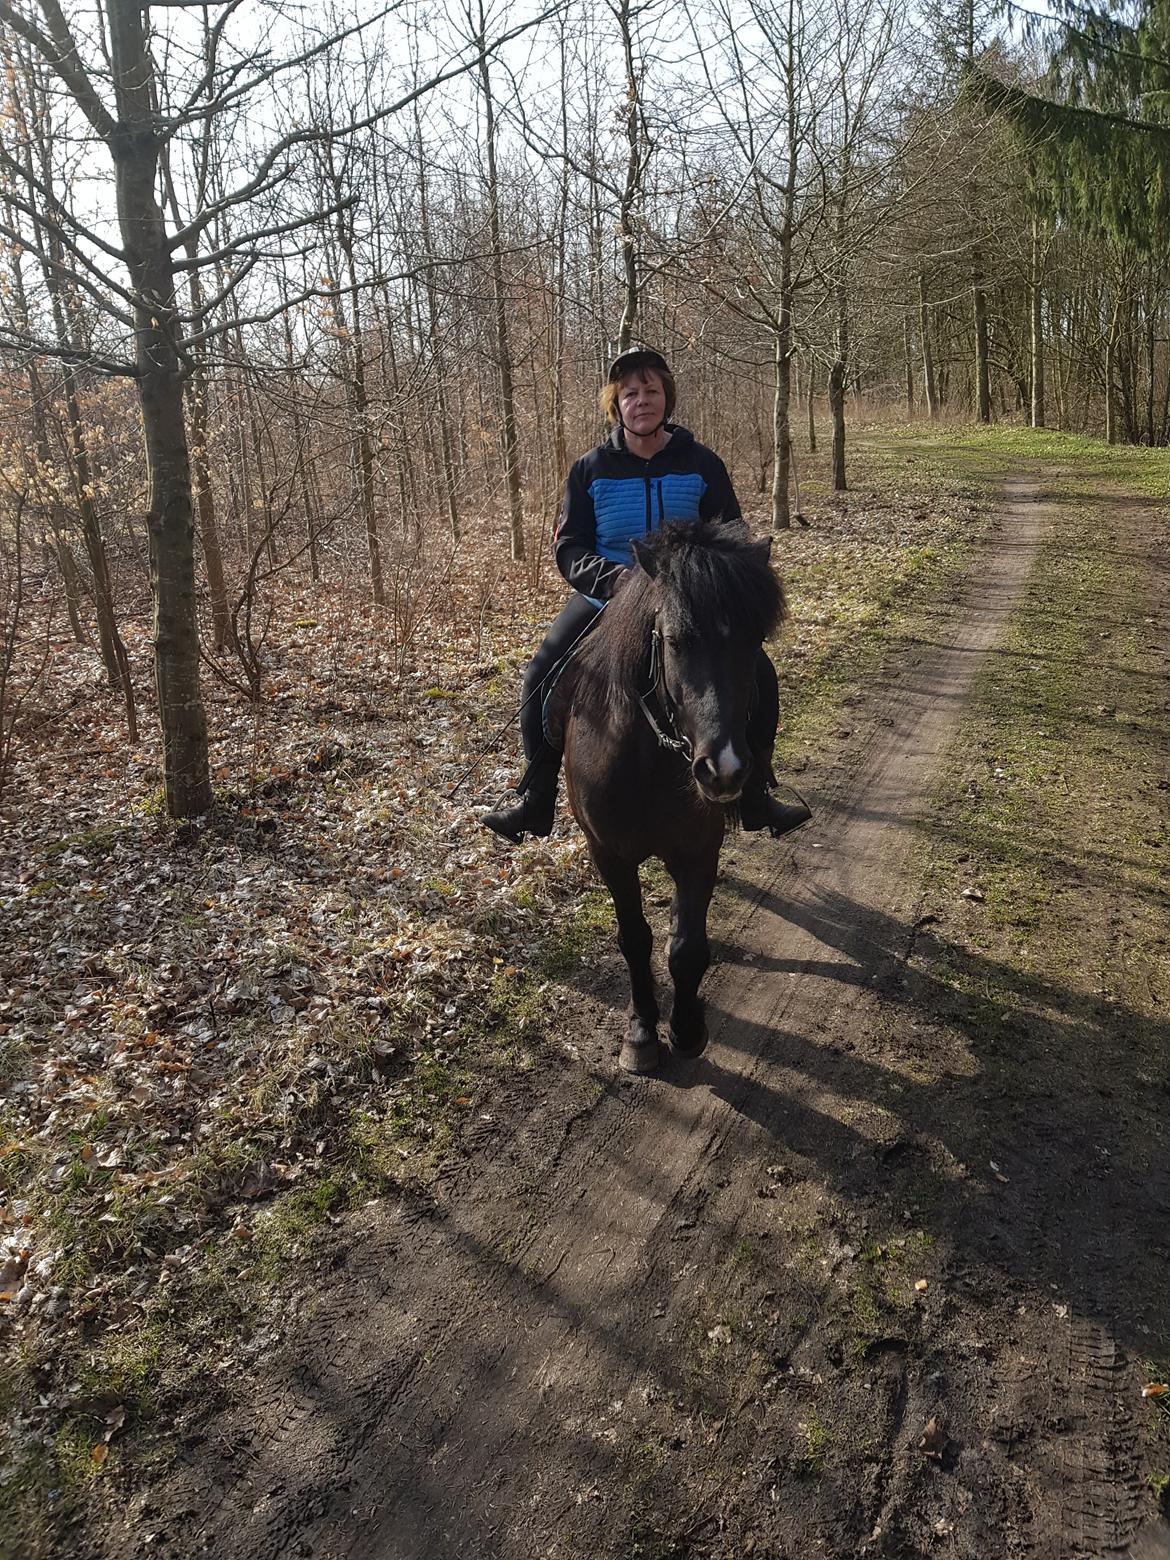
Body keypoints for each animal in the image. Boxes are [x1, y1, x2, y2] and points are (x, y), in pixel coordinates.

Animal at [549, 524, 789, 1073]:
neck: (649, 763)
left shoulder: (699, 851)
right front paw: (641, 1032)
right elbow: (635, 939)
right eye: (677, 642)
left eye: (754, 641)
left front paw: (685, 1029)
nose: (725, 769)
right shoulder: (609, 854)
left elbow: (687, 948)